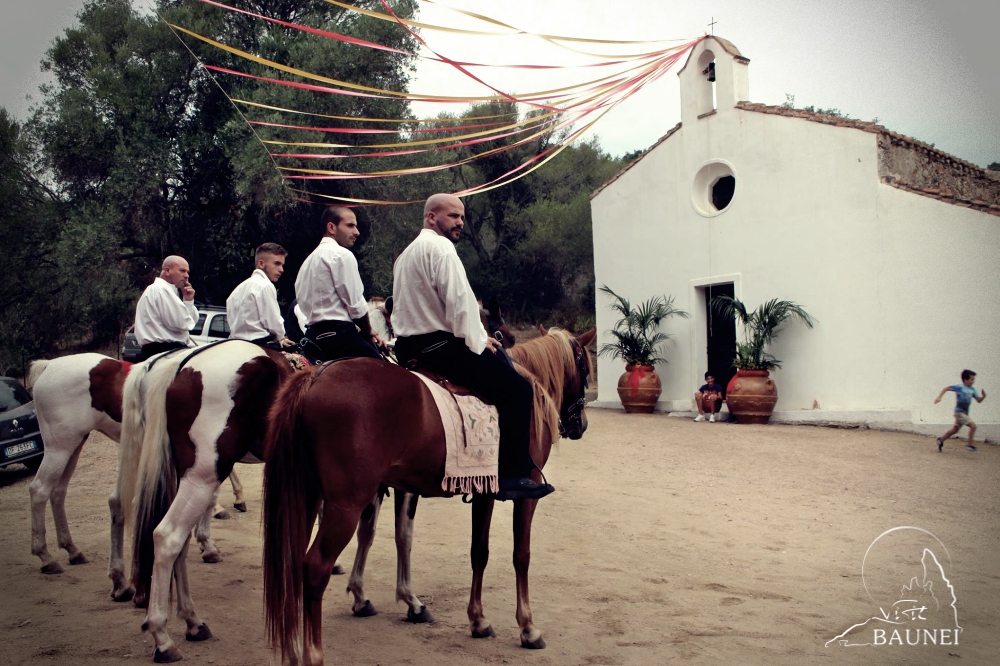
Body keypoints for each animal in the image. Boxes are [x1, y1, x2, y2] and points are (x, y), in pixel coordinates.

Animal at [25, 352, 248, 576]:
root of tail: (49, 366)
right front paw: (208, 542)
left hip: (74, 445)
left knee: (57, 492)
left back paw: (72, 550)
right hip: (59, 448)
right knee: (39, 490)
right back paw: (46, 557)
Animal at [262, 324, 596, 660]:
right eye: (584, 367)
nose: (580, 424)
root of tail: (316, 375)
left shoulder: (485, 489)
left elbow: (479, 551)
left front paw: (478, 620)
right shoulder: (526, 493)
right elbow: (521, 555)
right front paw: (528, 627)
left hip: (307, 496)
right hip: (345, 504)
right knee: (315, 568)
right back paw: (313, 653)